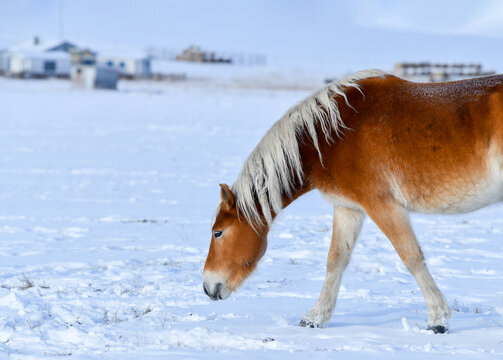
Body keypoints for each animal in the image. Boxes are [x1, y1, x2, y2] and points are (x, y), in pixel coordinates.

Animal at [202, 70, 503, 334]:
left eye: (218, 233)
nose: (207, 287)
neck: (332, 136)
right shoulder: (349, 208)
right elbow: (336, 260)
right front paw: (315, 318)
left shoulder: (382, 206)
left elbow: (411, 257)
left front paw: (438, 320)